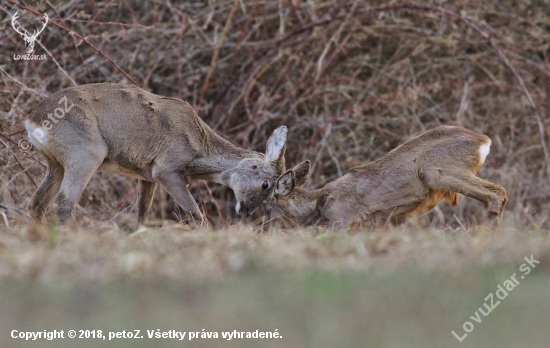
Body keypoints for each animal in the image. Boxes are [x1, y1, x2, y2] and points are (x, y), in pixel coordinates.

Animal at [26, 82, 292, 228]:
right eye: (266, 184)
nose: (246, 211)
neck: (200, 148)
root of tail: (33, 120)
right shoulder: (166, 168)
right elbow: (196, 215)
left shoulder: (146, 175)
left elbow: (142, 214)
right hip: (86, 152)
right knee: (63, 204)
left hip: (55, 163)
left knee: (37, 202)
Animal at [266, 125, 512, 228]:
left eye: (268, 205)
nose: (262, 226)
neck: (318, 204)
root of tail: (484, 141)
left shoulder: (341, 219)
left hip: (438, 170)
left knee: (498, 192)